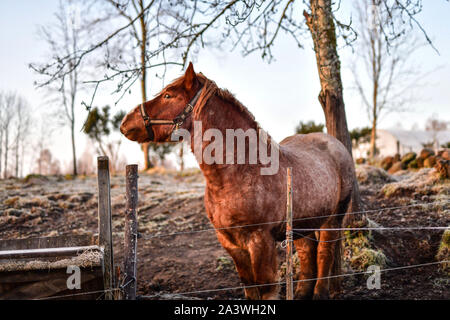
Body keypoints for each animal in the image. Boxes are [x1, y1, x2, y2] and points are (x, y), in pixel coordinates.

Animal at [119, 63, 356, 300]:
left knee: (325, 253)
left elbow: (266, 287)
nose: (125, 122)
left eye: (168, 95)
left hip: (333, 218)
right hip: (301, 223)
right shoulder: (230, 243)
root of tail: (335, 144)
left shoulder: (261, 242)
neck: (238, 174)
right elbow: (250, 287)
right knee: (308, 253)